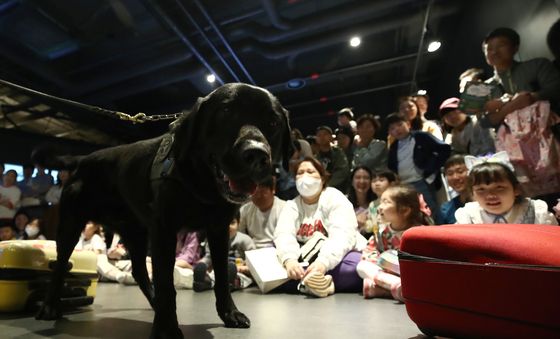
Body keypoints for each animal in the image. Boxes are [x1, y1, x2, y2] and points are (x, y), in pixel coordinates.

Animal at [34, 83, 294, 339]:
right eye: (225, 112)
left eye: (273, 123)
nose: (256, 154)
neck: (201, 185)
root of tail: (83, 159)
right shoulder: (164, 230)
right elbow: (166, 283)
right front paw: (166, 328)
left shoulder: (218, 231)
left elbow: (220, 277)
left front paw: (230, 314)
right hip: (71, 226)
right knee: (60, 264)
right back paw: (50, 306)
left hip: (137, 234)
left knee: (139, 271)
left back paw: (154, 303)